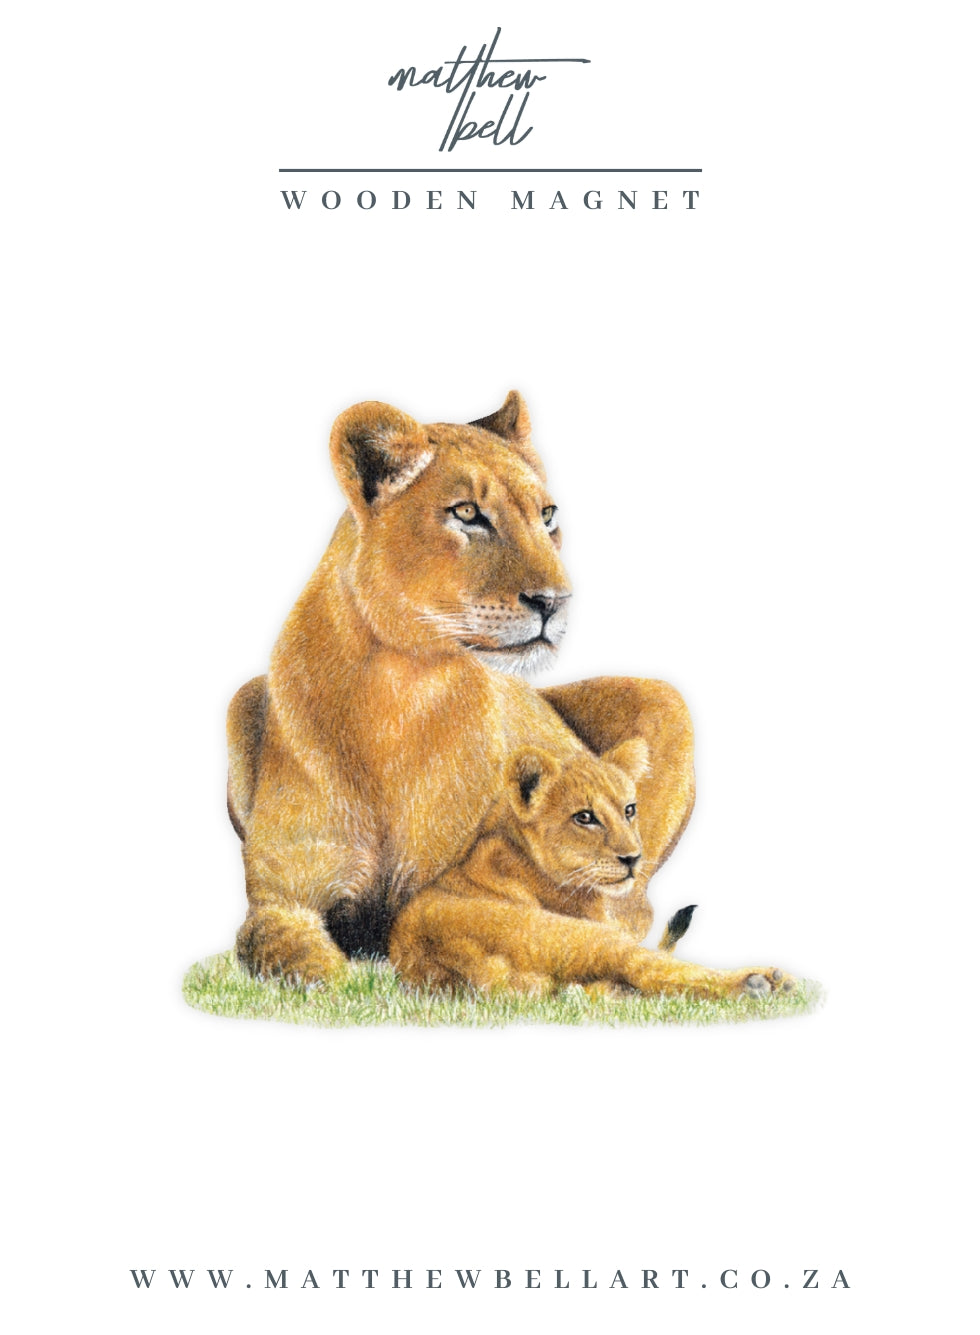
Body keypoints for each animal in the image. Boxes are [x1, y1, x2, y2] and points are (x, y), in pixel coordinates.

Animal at [389, 738, 793, 999]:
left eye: (629, 809)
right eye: (585, 817)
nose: (633, 859)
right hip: (587, 939)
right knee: (645, 969)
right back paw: (760, 982)